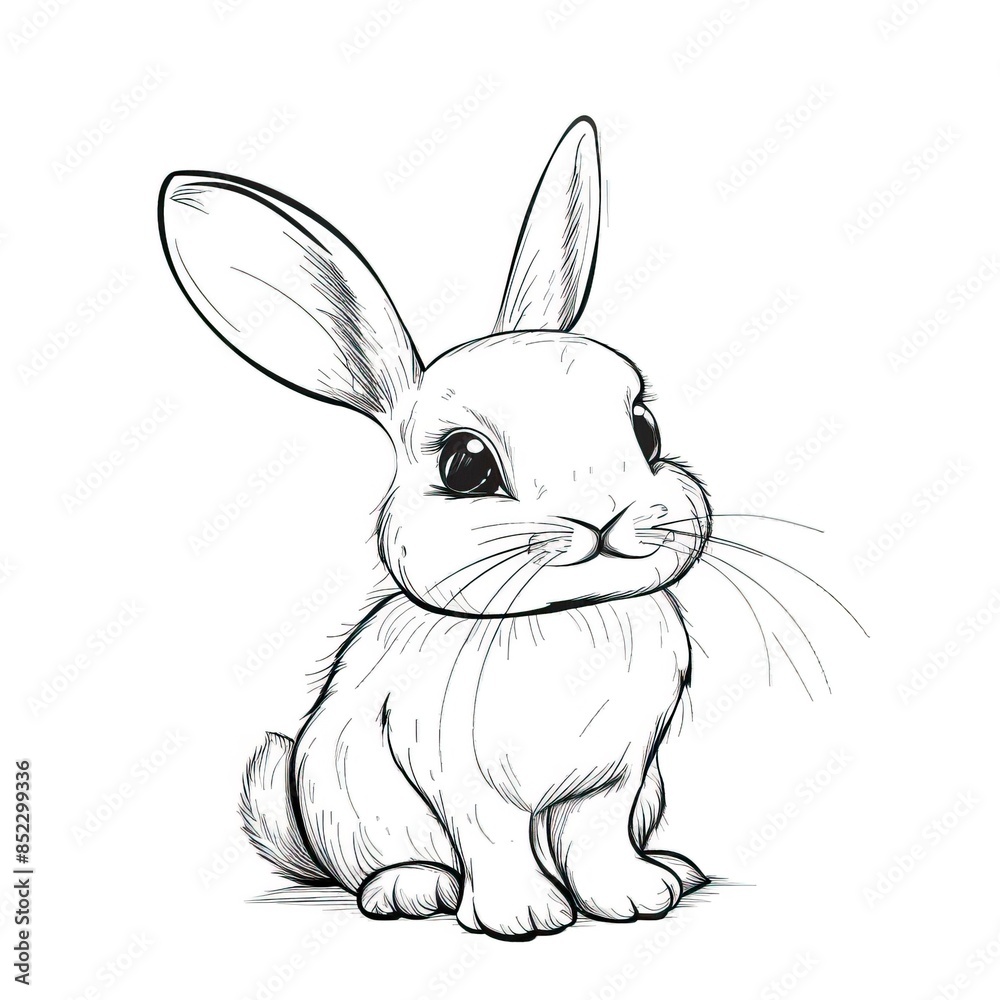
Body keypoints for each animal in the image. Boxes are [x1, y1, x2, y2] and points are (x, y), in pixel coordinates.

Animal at [158, 117, 713, 940]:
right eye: (466, 464)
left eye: (644, 430)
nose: (608, 513)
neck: (564, 616)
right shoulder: (463, 779)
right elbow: (495, 841)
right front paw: (524, 917)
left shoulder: (618, 779)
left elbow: (597, 840)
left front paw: (634, 900)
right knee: (396, 863)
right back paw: (411, 891)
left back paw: (675, 868)